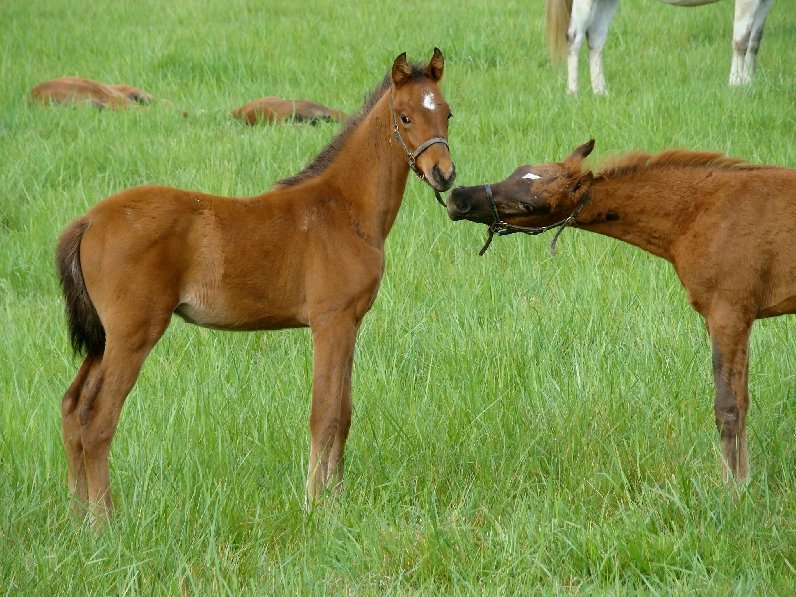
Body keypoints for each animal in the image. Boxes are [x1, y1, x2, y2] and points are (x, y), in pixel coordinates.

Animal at [56, 49, 454, 520]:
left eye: (447, 113)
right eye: (406, 117)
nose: (444, 174)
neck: (344, 208)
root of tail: (88, 220)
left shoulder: (351, 322)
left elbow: (344, 413)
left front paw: (337, 502)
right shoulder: (331, 322)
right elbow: (325, 414)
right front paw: (315, 504)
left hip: (103, 339)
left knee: (73, 409)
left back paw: (77, 517)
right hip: (132, 334)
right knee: (99, 419)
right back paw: (105, 522)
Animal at [544, 0, 776, 94]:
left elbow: (754, 41)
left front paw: (748, 83)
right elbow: (741, 41)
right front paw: (735, 85)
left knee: (596, 38)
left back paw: (601, 93)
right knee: (574, 38)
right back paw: (574, 94)